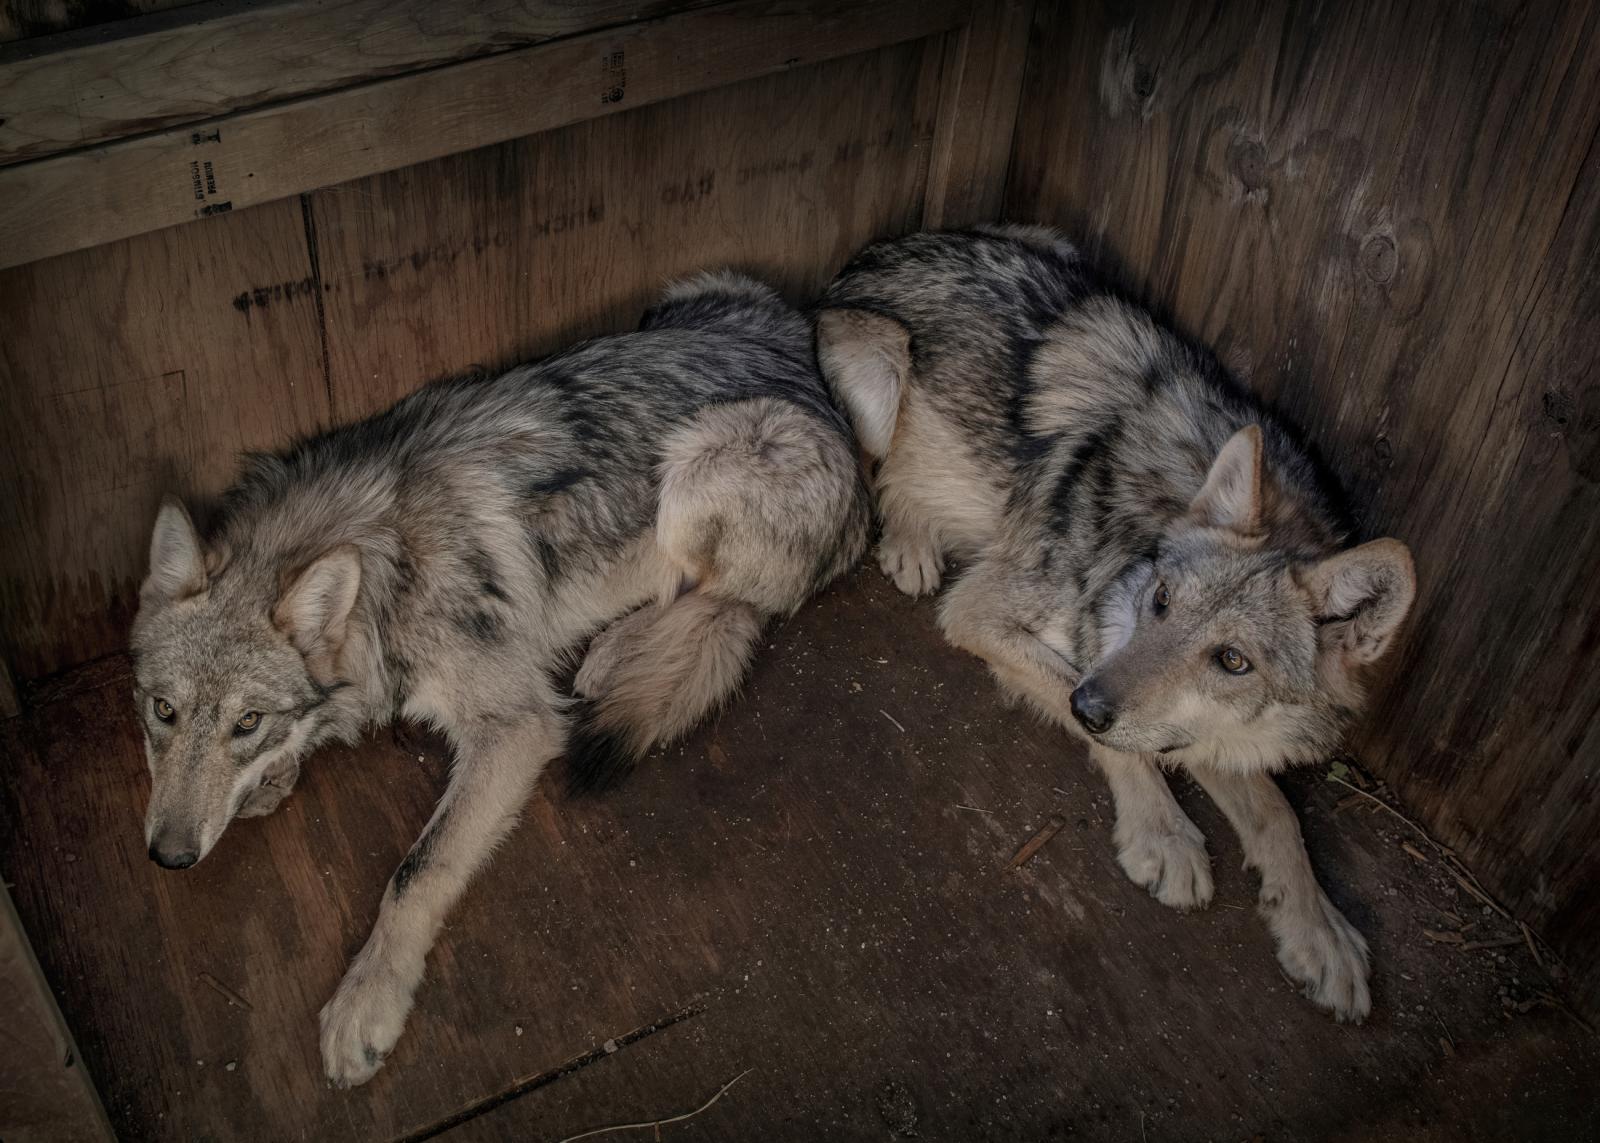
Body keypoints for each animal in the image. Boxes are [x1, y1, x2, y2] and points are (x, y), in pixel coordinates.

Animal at [131, 272, 870, 1082]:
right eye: (162, 711)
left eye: (246, 720)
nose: (168, 857)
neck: (384, 573)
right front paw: (272, 778)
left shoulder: (514, 729)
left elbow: (415, 871)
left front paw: (367, 1000)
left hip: (691, 476)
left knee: (723, 597)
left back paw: (613, 652)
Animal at [819, 224, 1420, 1018]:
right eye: (1161, 601)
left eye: (1233, 661)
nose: (1092, 704)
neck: (1150, 518)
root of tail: (882, 246)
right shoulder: (985, 616)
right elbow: (1119, 745)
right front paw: (1164, 836)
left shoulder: (1191, 725)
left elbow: (1277, 815)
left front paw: (1317, 930)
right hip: (884, 368)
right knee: (875, 475)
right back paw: (911, 541)